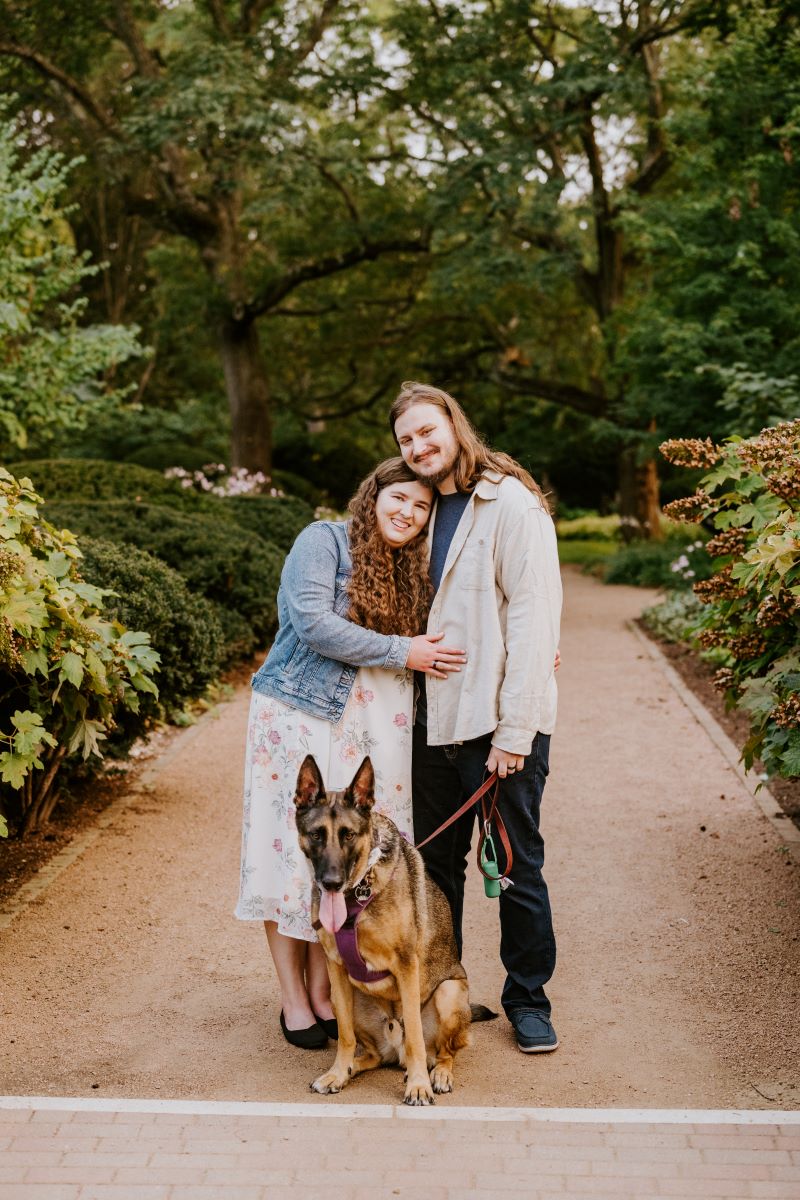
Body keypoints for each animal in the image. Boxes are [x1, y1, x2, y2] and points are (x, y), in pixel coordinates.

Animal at [296, 753, 494, 1099]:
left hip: (450, 992)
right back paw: (351, 1068)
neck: (358, 892)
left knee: (444, 1051)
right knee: (373, 1054)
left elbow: (414, 1035)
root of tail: (394, 1051)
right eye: (317, 834)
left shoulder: (406, 966)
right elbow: (344, 1035)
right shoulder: (336, 968)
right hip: (342, 998)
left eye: (348, 835)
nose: (331, 883)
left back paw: (437, 1074)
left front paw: (418, 1086)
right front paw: (337, 1073)